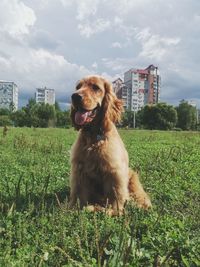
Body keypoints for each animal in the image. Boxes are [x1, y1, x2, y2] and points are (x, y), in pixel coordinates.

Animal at [69, 76, 152, 216]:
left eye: (95, 87)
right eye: (78, 87)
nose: (74, 96)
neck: (94, 136)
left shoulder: (114, 171)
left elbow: (116, 194)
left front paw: (114, 211)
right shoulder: (79, 169)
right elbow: (78, 193)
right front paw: (74, 208)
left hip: (132, 177)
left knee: (140, 196)